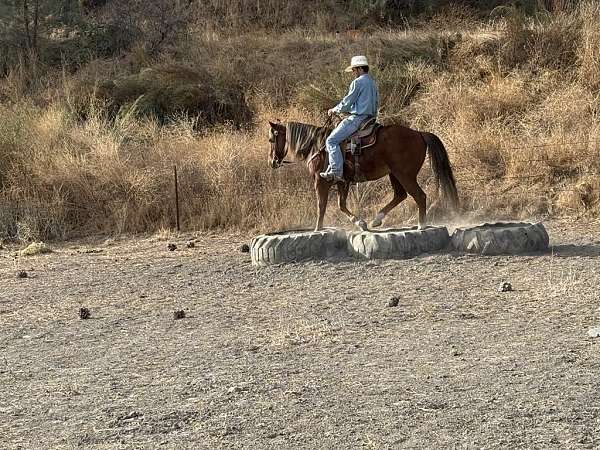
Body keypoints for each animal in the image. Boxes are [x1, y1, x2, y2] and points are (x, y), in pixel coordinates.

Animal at [268, 119, 460, 232]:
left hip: (404, 175)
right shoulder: (342, 182)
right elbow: (341, 205)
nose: (272, 162)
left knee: (419, 195)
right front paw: (360, 223)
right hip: (394, 174)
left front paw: (317, 228)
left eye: (271, 139)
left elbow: (321, 205)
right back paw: (377, 219)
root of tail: (419, 133)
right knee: (400, 195)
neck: (317, 145)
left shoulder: (320, 181)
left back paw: (421, 224)